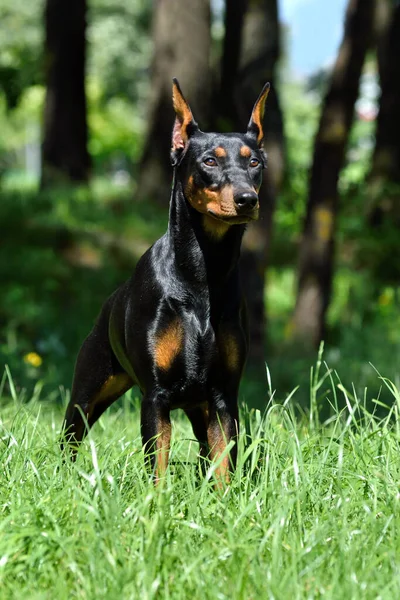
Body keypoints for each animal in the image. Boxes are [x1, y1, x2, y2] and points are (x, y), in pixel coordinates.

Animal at [61, 78, 268, 482]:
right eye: (209, 161)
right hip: (90, 388)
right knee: (70, 436)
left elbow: (224, 466)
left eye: (254, 162)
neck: (203, 273)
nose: (246, 199)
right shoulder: (155, 397)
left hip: (199, 407)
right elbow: (156, 467)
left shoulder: (223, 396)